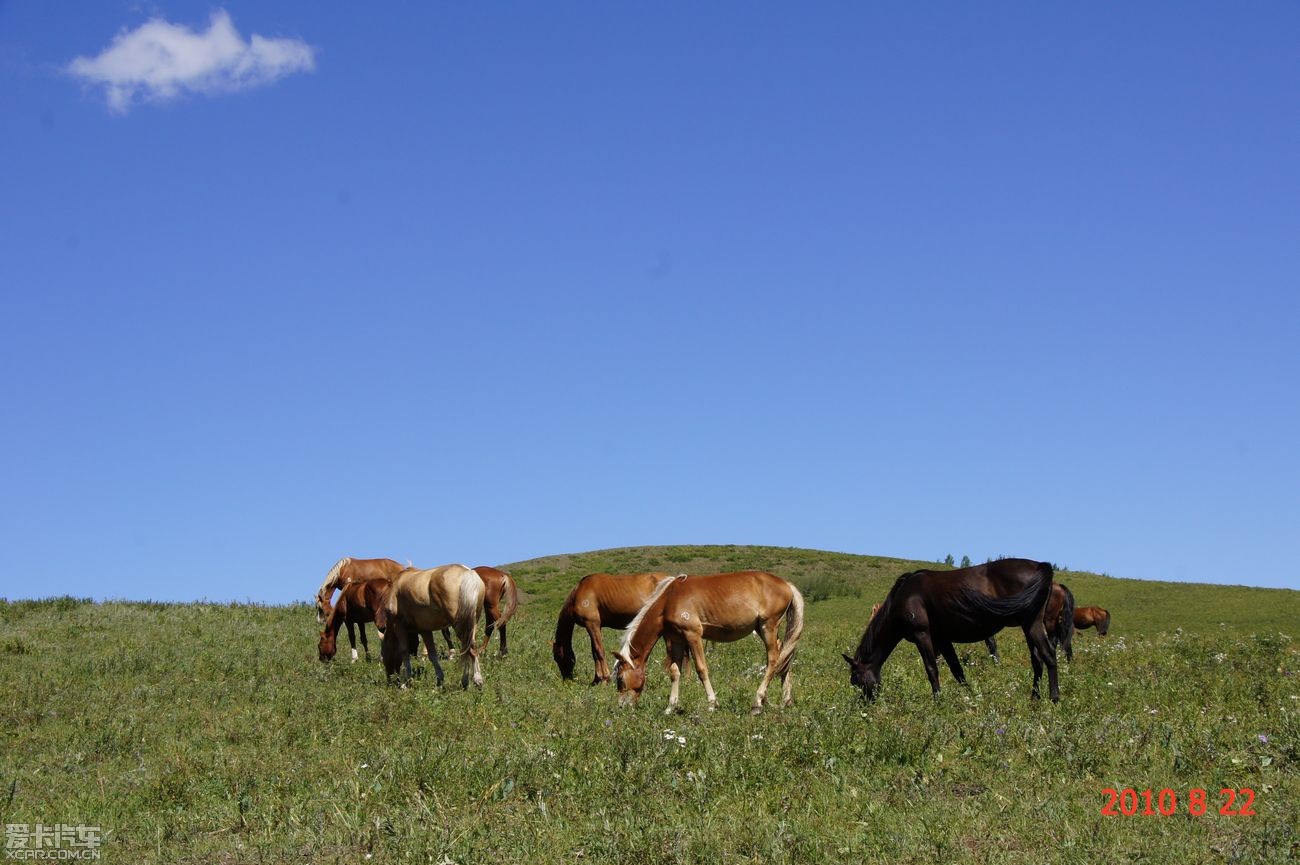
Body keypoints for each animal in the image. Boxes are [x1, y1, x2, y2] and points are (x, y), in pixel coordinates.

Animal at [377, 564, 488, 692]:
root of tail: (467, 572)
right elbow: (432, 654)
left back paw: (476, 680)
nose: (390, 680)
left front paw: (406, 682)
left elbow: (404, 651)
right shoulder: (425, 630)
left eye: (383, 655)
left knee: (469, 649)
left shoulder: (399, 626)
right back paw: (466, 681)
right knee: (468, 648)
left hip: (461, 626)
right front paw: (439, 680)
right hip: (471, 625)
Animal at [608, 569, 800, 712]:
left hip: (768, 626)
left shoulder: (693, 635)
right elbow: (674, 672)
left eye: (621, 679)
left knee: (773, 660)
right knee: (784, 654)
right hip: (762, 629)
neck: (669, 600)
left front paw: (712, 704)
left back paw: (758, 702)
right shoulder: (677, 640)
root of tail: (786, 584)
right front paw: (670, 707)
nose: (621, 706)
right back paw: (785, 700)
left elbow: (701, 669)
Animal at [847, 559, 1060, 702]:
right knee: (1037, 660)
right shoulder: (942, 639)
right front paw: (972, 698)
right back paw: (1034, 697)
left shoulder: (922, 635)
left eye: (856, 680)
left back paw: (1054, 698)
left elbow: (931, 669)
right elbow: (957, 671)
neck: (904, 597)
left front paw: (938, 701)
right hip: (1029, 626)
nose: (865, 705)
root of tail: (1040, 566)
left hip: (1032, 624)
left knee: (1049, 655)